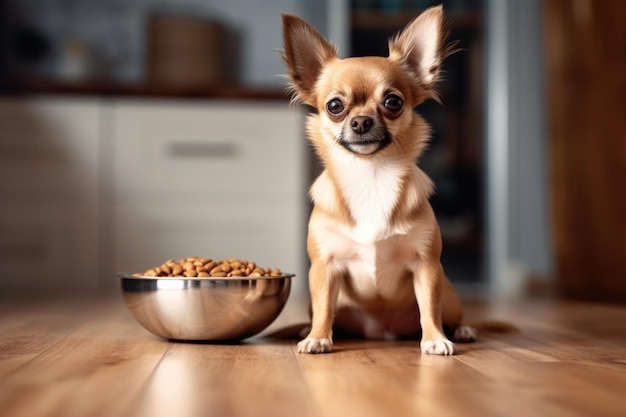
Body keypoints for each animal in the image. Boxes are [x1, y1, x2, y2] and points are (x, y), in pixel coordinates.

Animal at [280, 4, 476, 352]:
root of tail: (383, 332)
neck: (370, 175)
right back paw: (308, 329)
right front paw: (318, 338)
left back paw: (462, 330)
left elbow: (429, 307)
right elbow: (324, 307)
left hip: (450, 293)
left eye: (393, 102)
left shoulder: (427, 266)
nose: (360, 121)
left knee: (449, 313)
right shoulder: (324, 267)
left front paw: (435, 339)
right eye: (335, 106)